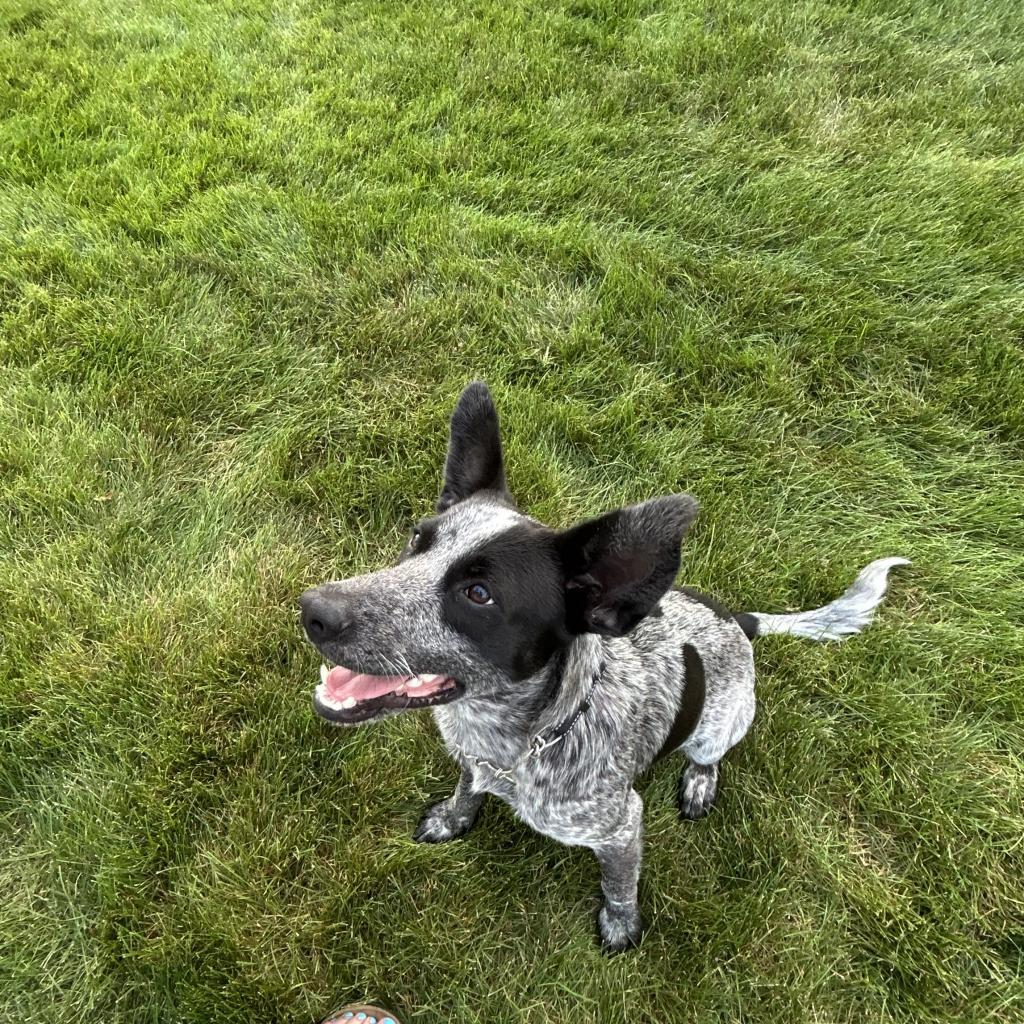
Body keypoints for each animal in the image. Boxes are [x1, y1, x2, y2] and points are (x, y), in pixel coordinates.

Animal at [299, 385, 909, 950]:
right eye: (416, 540)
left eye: (478, 594)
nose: (313, 611)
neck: (519, 742)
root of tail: (737, 619)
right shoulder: (475, 762)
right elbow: (466, 790)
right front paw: (454, 817)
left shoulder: (620, 827)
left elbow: (620, 885)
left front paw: (621, 924)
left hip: (725, 723)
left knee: (709, 755)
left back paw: (700, 780)